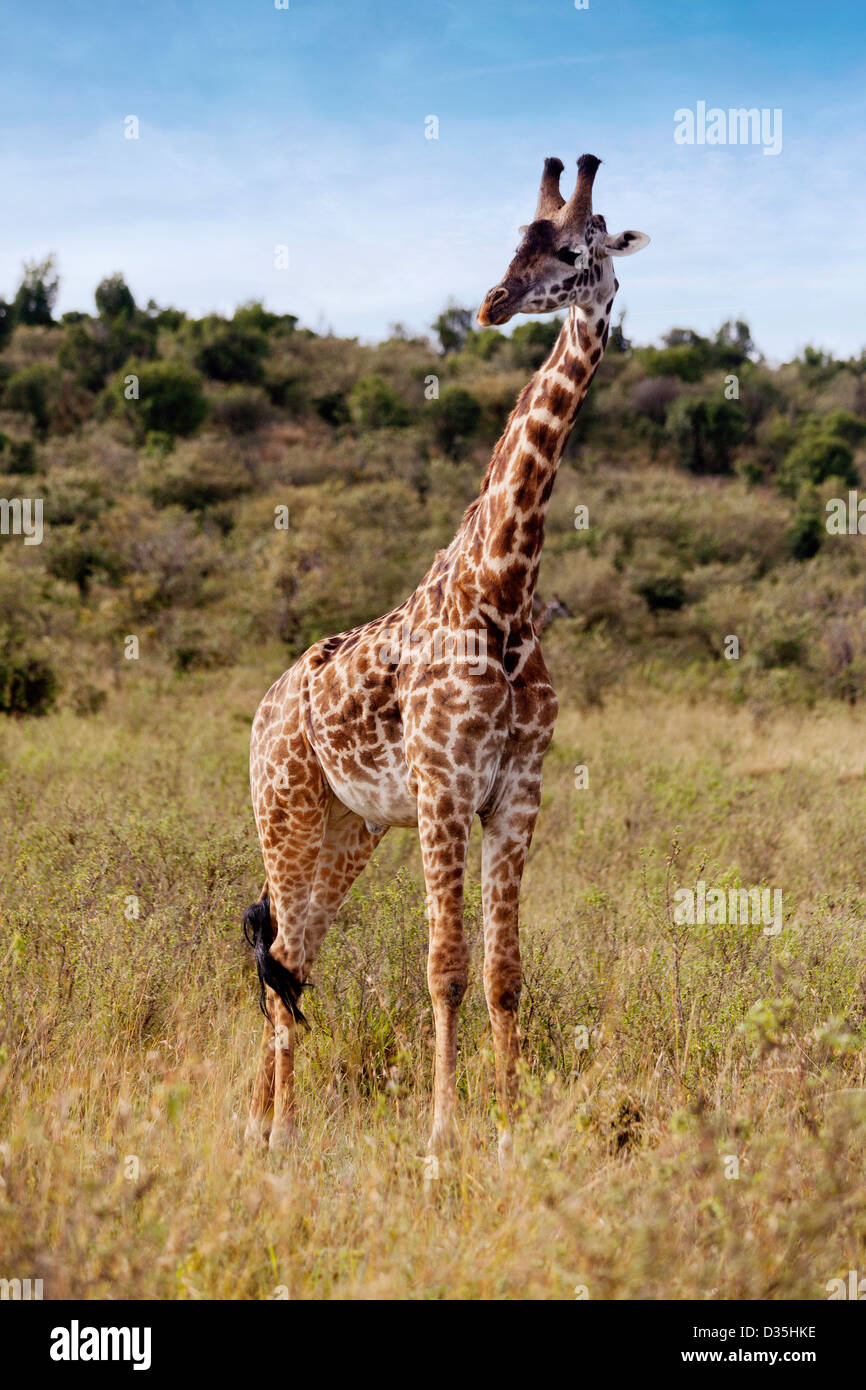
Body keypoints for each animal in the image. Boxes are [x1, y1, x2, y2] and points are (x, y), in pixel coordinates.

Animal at [244, 152, 649, 1160]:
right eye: (516, 238)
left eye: (576, 251)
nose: (493, 303)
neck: (501, 593)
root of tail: (265, 707)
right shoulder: (443, 790)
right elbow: (445, 967)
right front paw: (441, 1137)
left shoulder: (516, 794)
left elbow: (503, 972)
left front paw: (504, 1129)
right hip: (286, 811)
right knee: (282, 959)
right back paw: (275, 1134)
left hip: (349, 828)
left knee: (294, 959)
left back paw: (267, 1126)